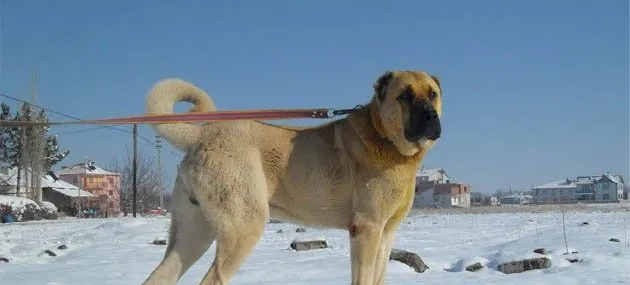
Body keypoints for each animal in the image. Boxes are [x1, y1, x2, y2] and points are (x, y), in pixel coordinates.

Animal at [142, 69, 444, 284]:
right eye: (405, 95)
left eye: (432, 94)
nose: (431, 116)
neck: (387, 140)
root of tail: (202, 134)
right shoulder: (367, 229)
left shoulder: (386, 232)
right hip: (244, 226)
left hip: (193, 234)